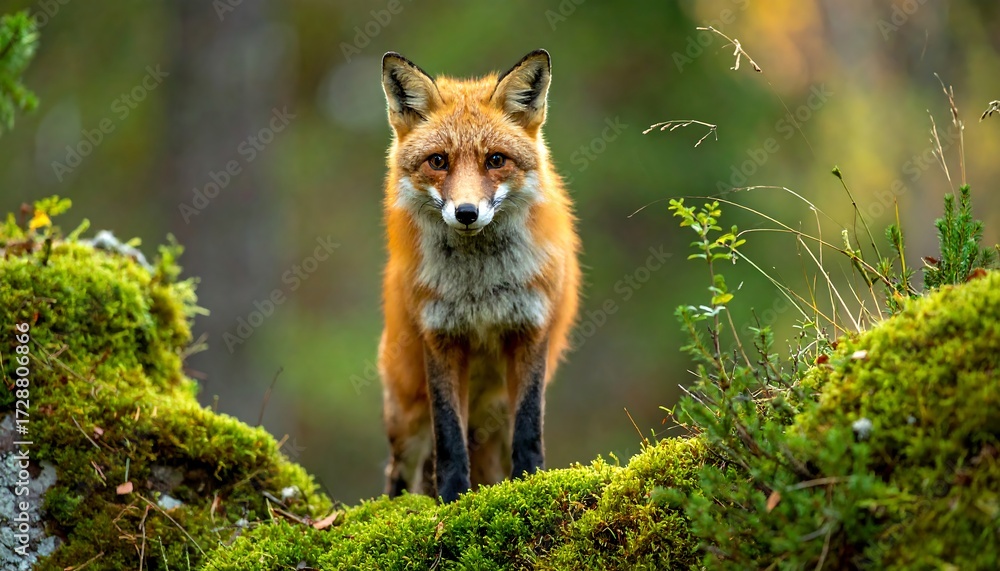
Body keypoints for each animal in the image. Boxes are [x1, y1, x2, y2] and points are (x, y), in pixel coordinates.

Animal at [377, 49, 580, 502]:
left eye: (495, 160)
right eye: (438, 161)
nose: (467, 212)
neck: (480, 289)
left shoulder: (530, 329)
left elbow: (529, 431)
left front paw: (529, 485)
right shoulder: (440, 337)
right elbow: (449, 439)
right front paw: (452, 500)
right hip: (406, 413)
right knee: (400, 471)